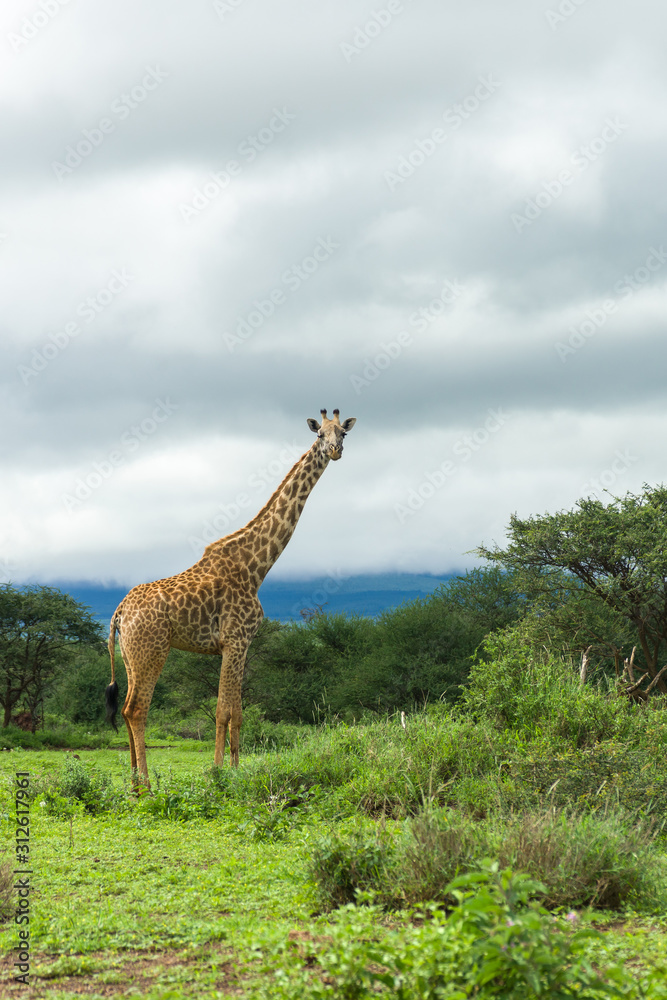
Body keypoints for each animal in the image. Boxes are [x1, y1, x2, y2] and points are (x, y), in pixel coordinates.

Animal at [105, 409, 356, 787]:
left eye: (343, 433)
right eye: (318, 435)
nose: (335, 451)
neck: (257, 566)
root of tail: (119, 612)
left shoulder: (241, 644)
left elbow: (238, 712)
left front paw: (237, 771)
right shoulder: (234, 640)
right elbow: (223, 711)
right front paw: (218, 772)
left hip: (130, 655)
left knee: (125, 708)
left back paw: (133, 783)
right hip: (152, 650)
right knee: (137, 710)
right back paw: (147, 785)